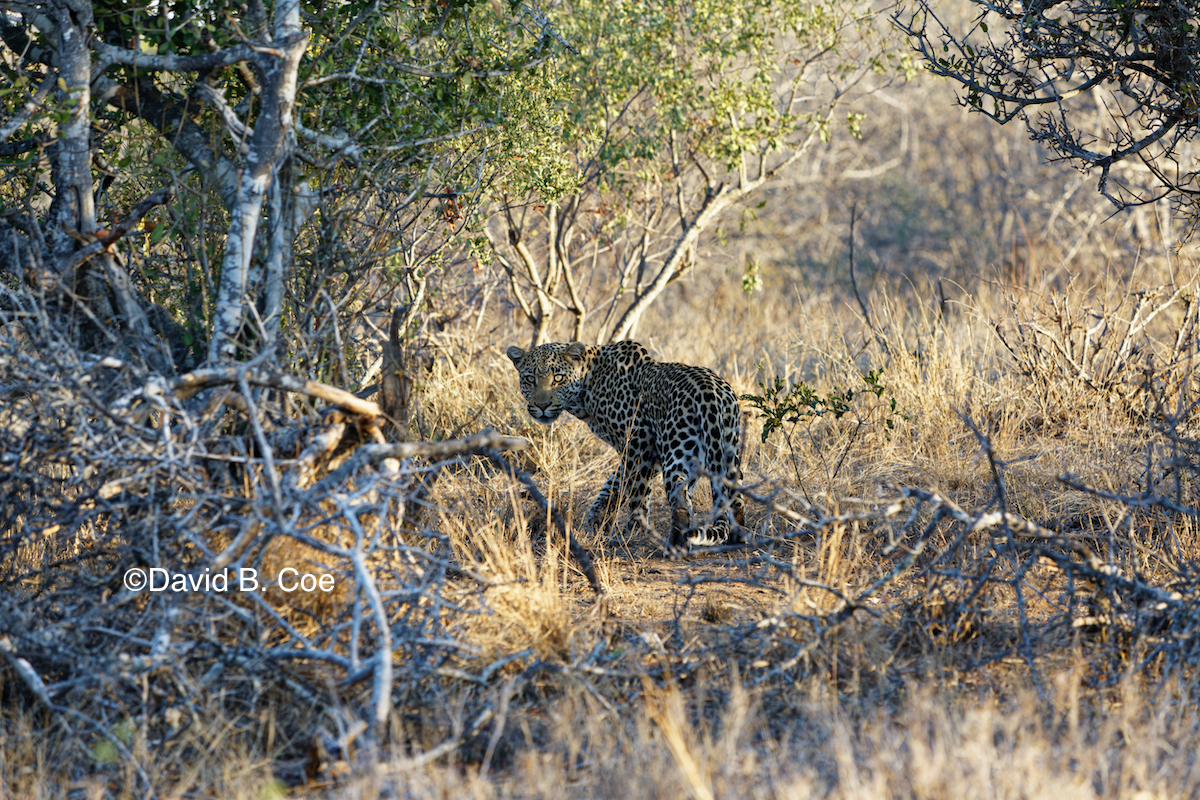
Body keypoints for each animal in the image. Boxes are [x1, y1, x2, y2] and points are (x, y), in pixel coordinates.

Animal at [504, 340, 744, 556]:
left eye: (558, 378)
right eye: (530, 379)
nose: (542, 406)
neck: (586, 389)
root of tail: (711, 394)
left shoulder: (639, 441)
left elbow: (637, 493)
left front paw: (631, 532)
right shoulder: (638, 451)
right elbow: (613, 484)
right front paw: (597, 520)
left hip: (677, 451)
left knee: (681, 503)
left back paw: (676, 546)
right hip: (728, 451)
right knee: (736, 498)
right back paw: (738, 537)